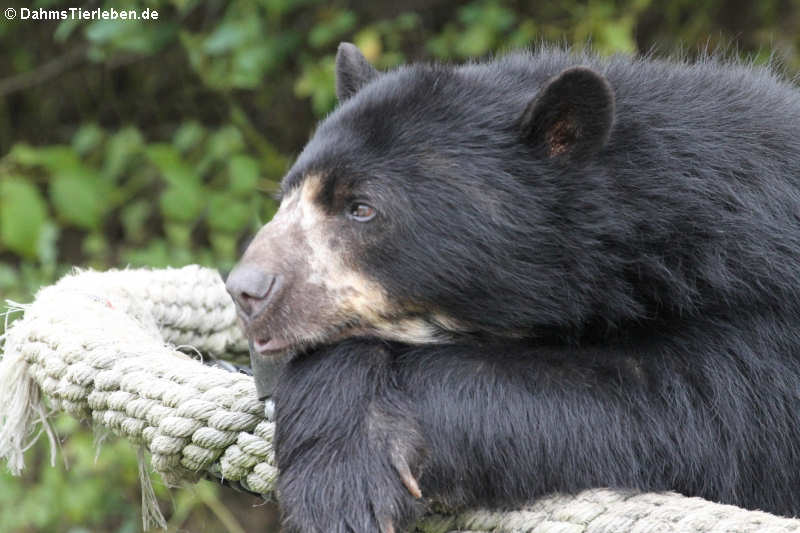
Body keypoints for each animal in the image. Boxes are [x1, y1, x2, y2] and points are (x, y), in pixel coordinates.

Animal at [225, 43, 800, 528]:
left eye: (361, 207)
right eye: (286, 196)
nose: (246, 290)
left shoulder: (759, 297)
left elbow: (699, 405)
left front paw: (345, 487)